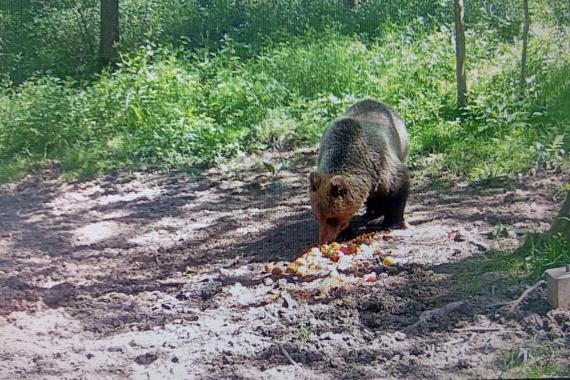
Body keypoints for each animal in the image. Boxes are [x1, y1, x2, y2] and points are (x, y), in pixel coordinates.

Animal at [306, 99, 408, 245]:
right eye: (317, 216)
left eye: (332, 218)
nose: (324, 240)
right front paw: (344, 233)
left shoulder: (382, 166)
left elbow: (398, 189)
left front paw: (391, 222)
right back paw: (371, 212)